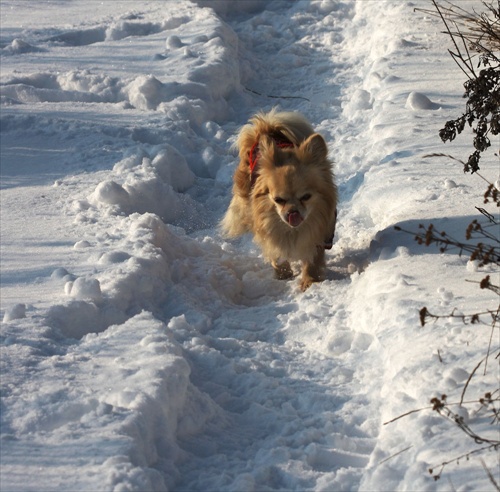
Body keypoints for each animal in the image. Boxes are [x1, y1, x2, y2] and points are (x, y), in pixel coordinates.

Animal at [221, 109, 338, 290]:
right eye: (278, 200)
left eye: (306, 197)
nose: (292, 212)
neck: (293, 231)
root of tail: (267, 127)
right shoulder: (268, 230)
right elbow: (276, 253)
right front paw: (284, 275)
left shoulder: (320, 235)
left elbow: (312, 259)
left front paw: (309, 282)